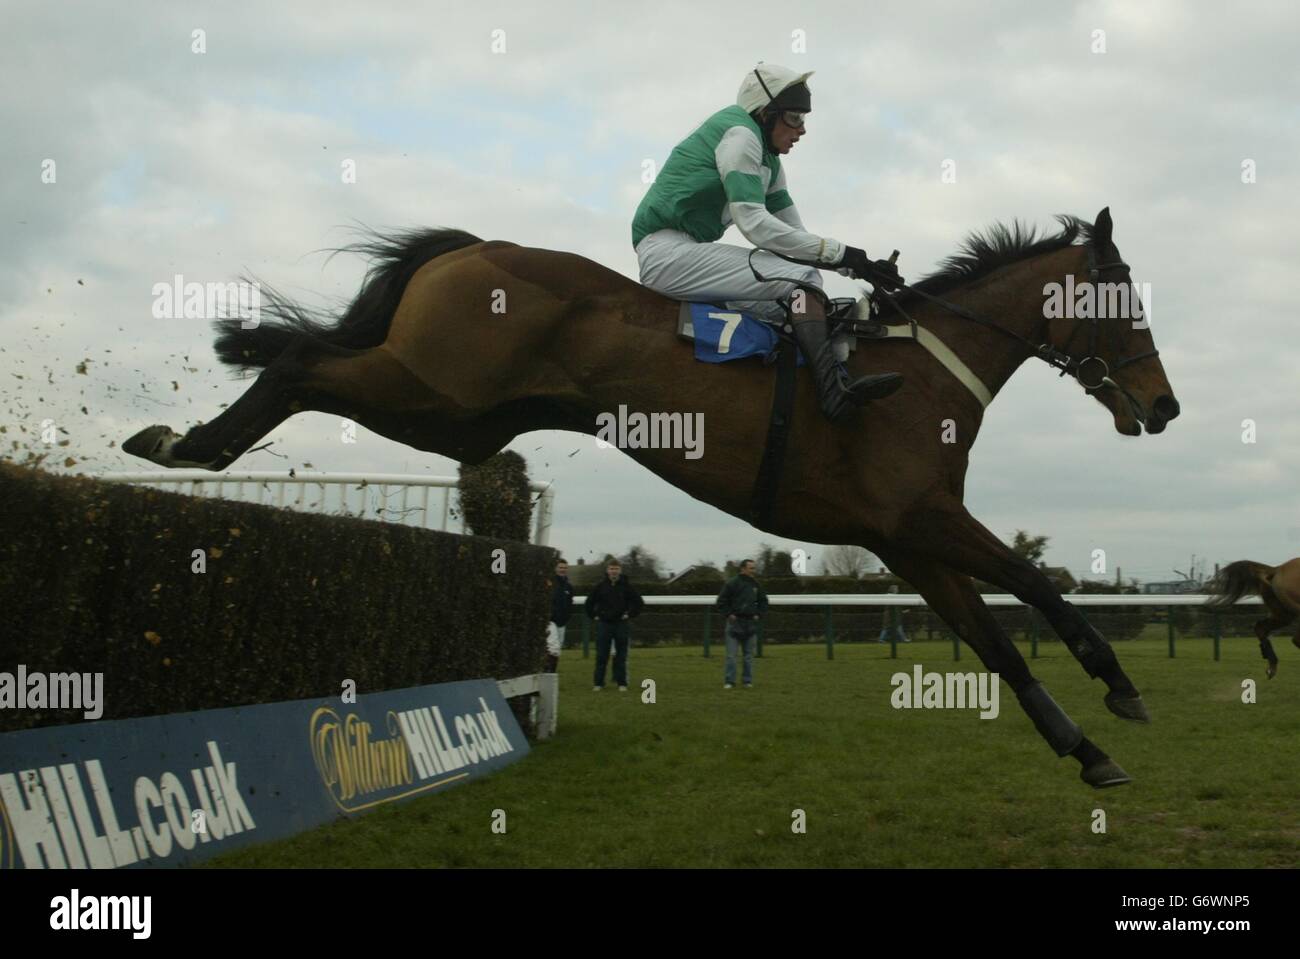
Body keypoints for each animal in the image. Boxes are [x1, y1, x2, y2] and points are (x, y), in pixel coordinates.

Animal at [124, 207, 1180, 784]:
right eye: (1123, 297)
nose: (1165, 406)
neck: (921, 370)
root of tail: (470, 247)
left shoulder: (905, 542)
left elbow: (998, 641)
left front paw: (1085, 744)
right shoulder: (924, 518)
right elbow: (1037, 585)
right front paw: (1119, 687)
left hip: (461, 419)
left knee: (308, 361)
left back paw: (184, 438)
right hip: (434, 393)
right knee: (299, 361)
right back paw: (186, 441)